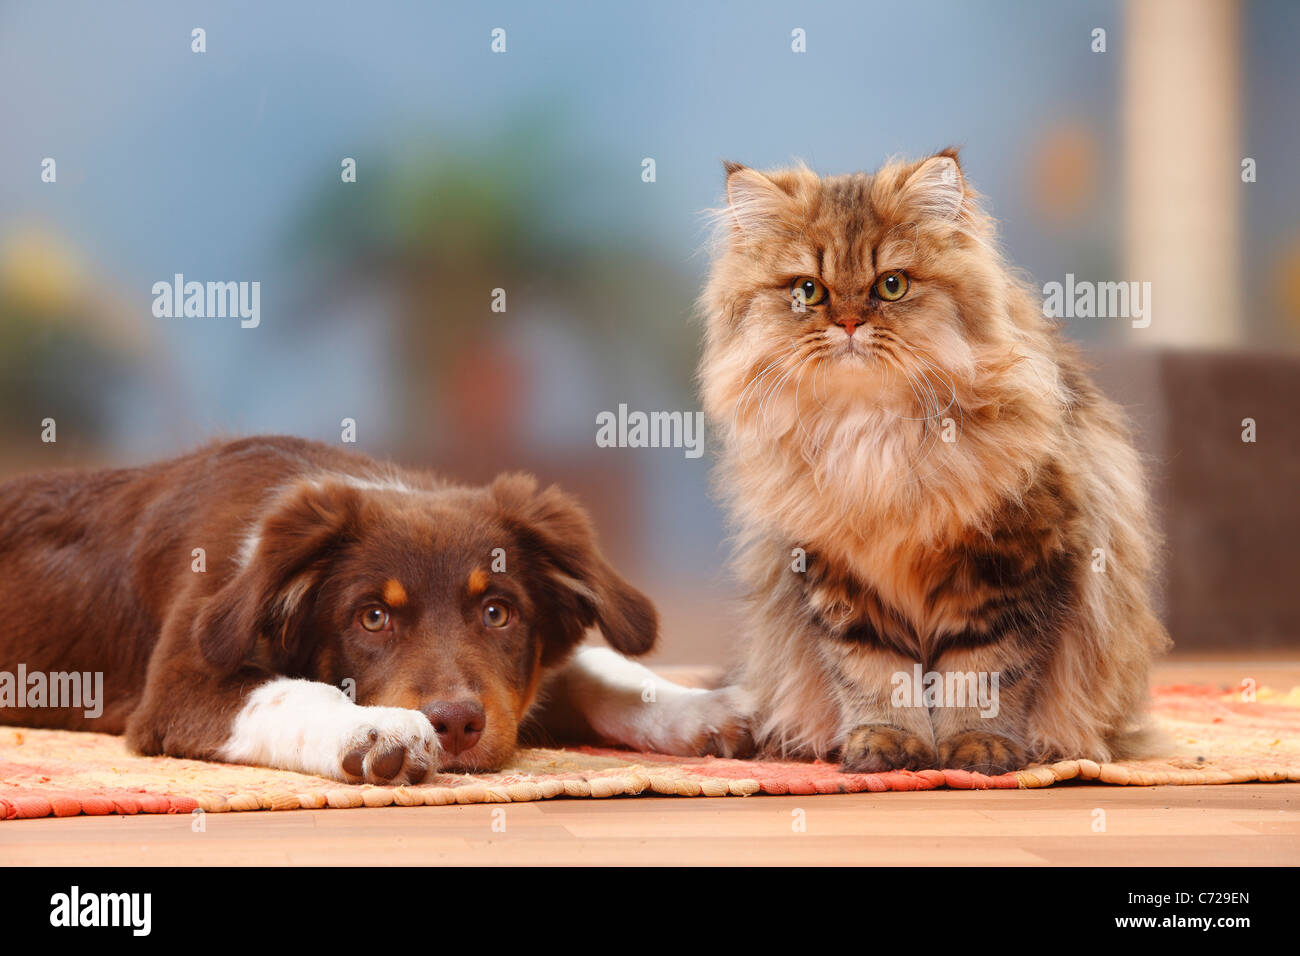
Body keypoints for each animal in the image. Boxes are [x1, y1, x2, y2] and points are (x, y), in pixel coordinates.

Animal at [0, 437, 754, 780]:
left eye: (498, 613)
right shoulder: (181, 682)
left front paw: (706, 708)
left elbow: (602, 670)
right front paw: (376, 730)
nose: (456, 725)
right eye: (372, 617)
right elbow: (291, 691)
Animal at [696, 151, 1175, 780]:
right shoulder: (839, 580)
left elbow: (983, 676)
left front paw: (978, 751)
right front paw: (886, 746)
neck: (872, 434)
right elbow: (875, 676)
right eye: (808, 291)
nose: (848, 323)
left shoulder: (1009, 565)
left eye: (891, 285)